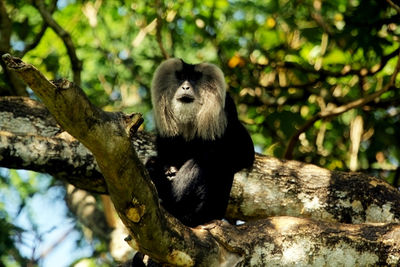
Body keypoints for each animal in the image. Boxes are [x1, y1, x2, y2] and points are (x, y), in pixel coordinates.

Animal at [146, 58, 253, 228]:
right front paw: (165, 169)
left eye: (194, 78)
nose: (185, 86)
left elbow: (244, 154)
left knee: (207, 162)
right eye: (182, 76)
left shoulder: (228, 111)